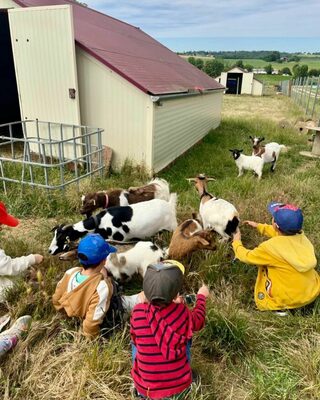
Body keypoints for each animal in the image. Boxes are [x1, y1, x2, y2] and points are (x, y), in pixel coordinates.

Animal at [48, 195, 178, 256]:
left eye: (61, 237)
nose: (49, 251)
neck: (100, 223)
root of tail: (169, 204)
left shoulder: (120, 239)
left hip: (172, 227)